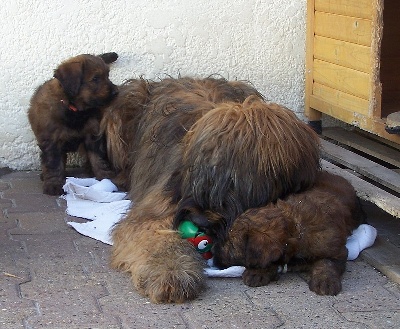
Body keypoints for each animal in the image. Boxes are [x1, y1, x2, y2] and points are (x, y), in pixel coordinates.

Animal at [28, 52, 119, 193]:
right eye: (95, 78)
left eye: (107, 76)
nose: (116, 92)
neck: (74, 109)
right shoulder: (52, 141)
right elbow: (54, 163)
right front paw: (54, 183)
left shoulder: (93, 134)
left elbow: (98, 157)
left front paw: (105, 175)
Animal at [101, 77, 320, 302]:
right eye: (197, 172)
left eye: (236, 184)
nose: (200, 221)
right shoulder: (155, 209)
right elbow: (157, 235)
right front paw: (172, 271)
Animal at [212, 170, 366, 296]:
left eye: (232, 245)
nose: (214, 257)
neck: (295, 228)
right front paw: (259, 272)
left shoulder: (336, 250)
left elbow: (327, 263)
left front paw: (325, 282)